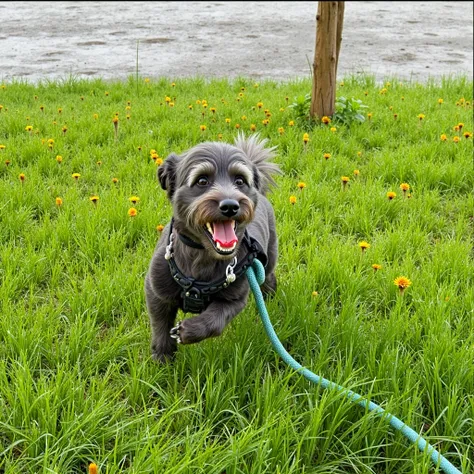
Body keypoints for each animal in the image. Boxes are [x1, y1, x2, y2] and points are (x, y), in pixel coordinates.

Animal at [143, 133, 280, 362]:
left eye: (240, 181)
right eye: (202, 180)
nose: (231, 206)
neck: (202, 257)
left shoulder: (235, 299)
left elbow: (215, 322)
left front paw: (189, 330)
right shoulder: (156, 292)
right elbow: (160, 326)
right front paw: (162, 356)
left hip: (269, 255)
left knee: (268, 276)